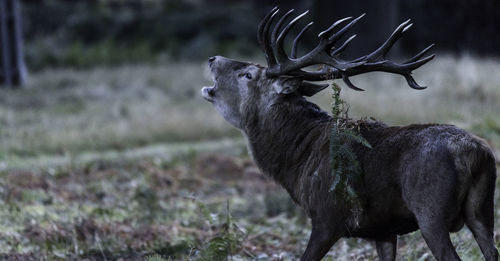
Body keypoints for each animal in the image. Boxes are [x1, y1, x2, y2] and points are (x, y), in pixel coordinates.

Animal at [201, 7, 498, 258]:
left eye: (248, 74)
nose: (213, 58)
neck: (298, 161)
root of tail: (475, 153)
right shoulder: (384, 230)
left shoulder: (327, 216)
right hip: (482, 210)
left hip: (430, 211)